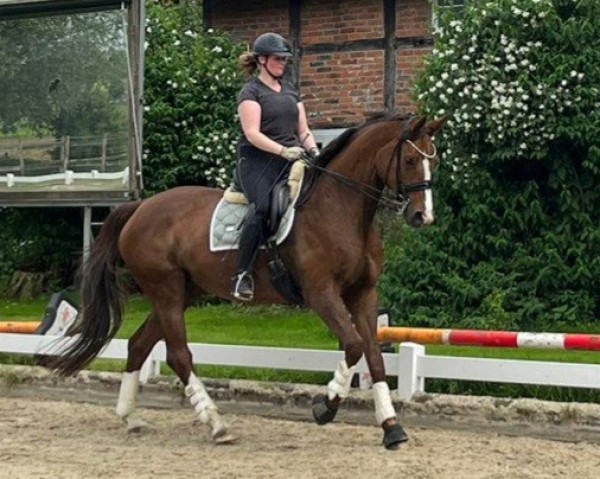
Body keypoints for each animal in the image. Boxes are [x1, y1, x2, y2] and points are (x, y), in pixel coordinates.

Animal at [49, 112, 442, 450]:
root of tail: (140, 208)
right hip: (166, 289)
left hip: (183, 292)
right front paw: (325, 407)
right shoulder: (321, 294)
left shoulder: (363, 294)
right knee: (178, 355)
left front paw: (391, 428)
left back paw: (130, 417)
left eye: (432, 163)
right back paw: (217, 425)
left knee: (139, 344)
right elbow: (354, 346)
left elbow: (374, 356)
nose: (423, 216)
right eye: (410, 160)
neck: (341, 209)